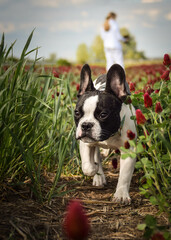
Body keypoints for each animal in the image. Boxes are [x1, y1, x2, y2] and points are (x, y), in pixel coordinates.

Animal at [74, 62, 137, 203]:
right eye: (77, 113)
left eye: (103, 114)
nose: (86, 125)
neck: (110, 134)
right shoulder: (85, 143)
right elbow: (87, 166)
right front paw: (94, 169)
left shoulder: (129, 150)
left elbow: (125, 175)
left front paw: (121, 195)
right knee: (96, 155)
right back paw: (99, 176)